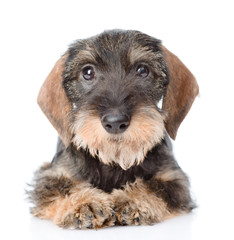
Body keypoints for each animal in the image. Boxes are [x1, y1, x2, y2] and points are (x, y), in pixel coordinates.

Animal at [28, 29, 198, 229]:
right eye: (88, 72)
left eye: (142, 70)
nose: (115, 122)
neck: (113, 159)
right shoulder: (50, 175)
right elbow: (63, 187)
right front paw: (85, 203)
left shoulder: (174, 179)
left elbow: (155, 187)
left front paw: (131, 200)